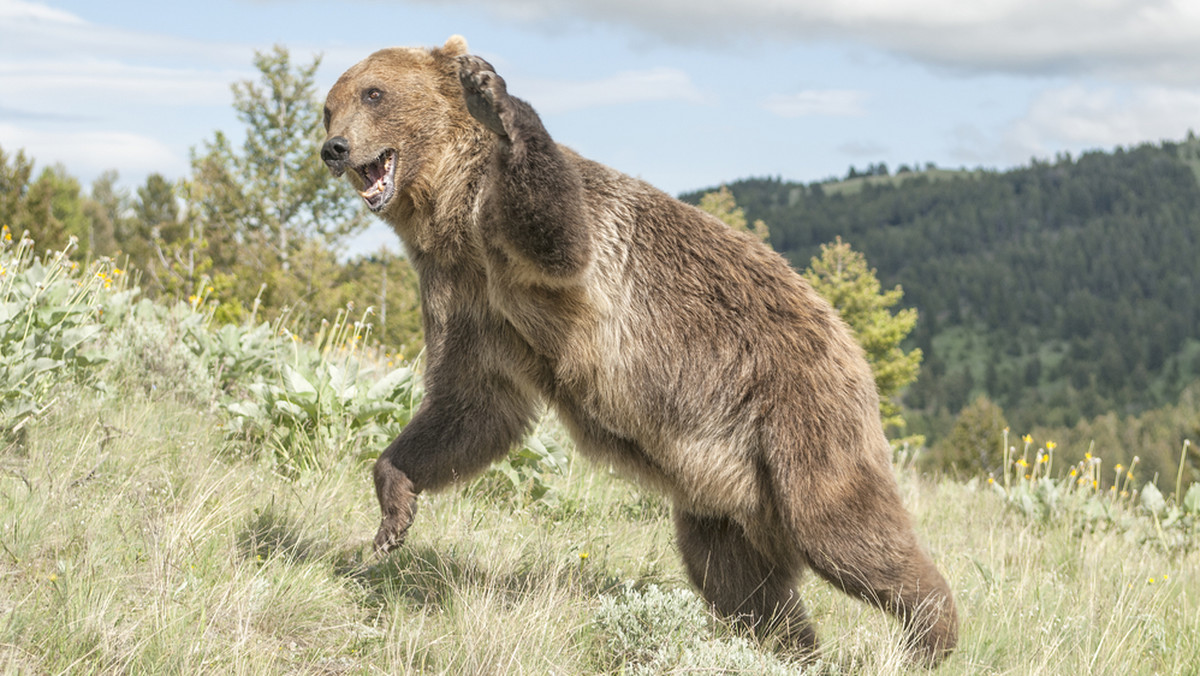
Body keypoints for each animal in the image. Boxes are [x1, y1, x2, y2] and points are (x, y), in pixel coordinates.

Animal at [319, 35, 955, 667]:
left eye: (373, 93)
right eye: (329, 106)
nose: (334, 147)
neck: (450, 211)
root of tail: (848, 339)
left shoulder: (542, 247)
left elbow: (558, 235)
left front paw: (493, 99)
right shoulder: (465, 296)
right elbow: (472, 405)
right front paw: (394, 509)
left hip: (798, 413)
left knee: (839, 529)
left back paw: (931, 632)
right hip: (727, 485)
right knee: (734, 575)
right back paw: (789, 647)